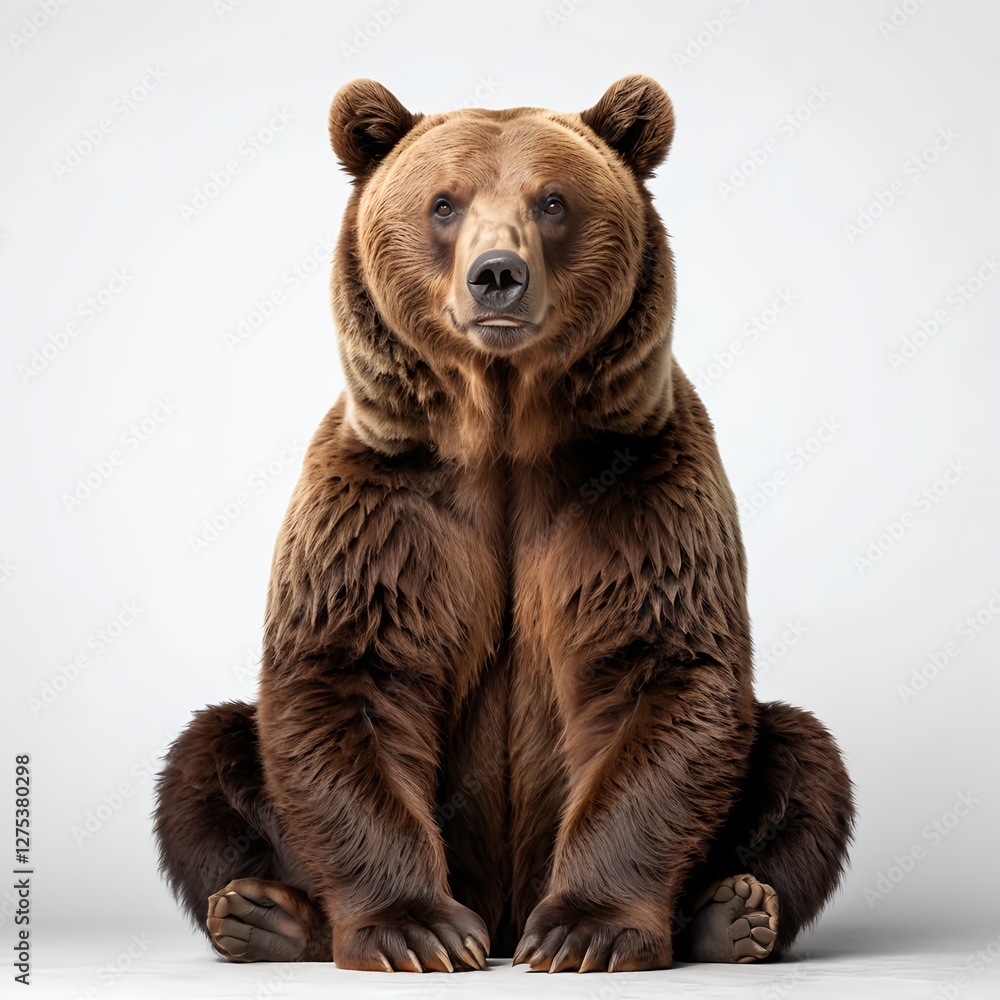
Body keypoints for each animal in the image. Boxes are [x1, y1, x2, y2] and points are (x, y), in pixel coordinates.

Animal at [154, 75, 855, 973]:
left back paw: (731, 914)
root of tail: (504, 914)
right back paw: (264, 916)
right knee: (207, 758)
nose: (498, 276)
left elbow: (662, 669)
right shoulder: (384, 504)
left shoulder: (640, 488)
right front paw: (416, 929)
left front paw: (587, 930)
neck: (504, 431)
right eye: (443, 203)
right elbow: (347, 676)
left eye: (552, 201)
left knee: (804, 760)